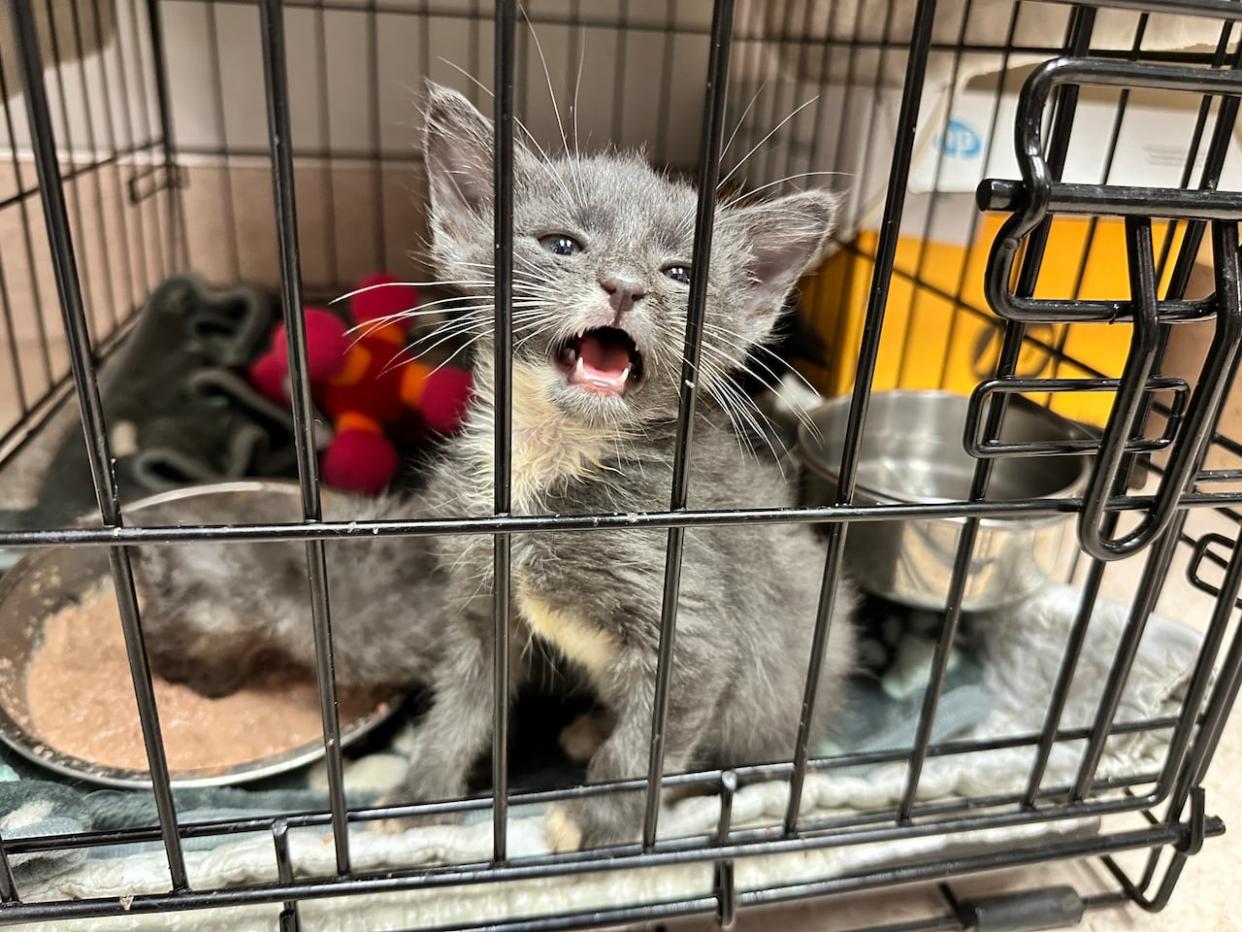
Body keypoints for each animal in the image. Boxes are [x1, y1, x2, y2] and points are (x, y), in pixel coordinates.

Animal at [133, 87, 854, 854]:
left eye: (680, 274)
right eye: (563, 244)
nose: (625, 286)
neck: (550, 462)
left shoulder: (690, 621)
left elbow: (651, 740)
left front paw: (599, 822)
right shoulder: (480, 597)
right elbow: (461, 702)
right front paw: (421, 795)